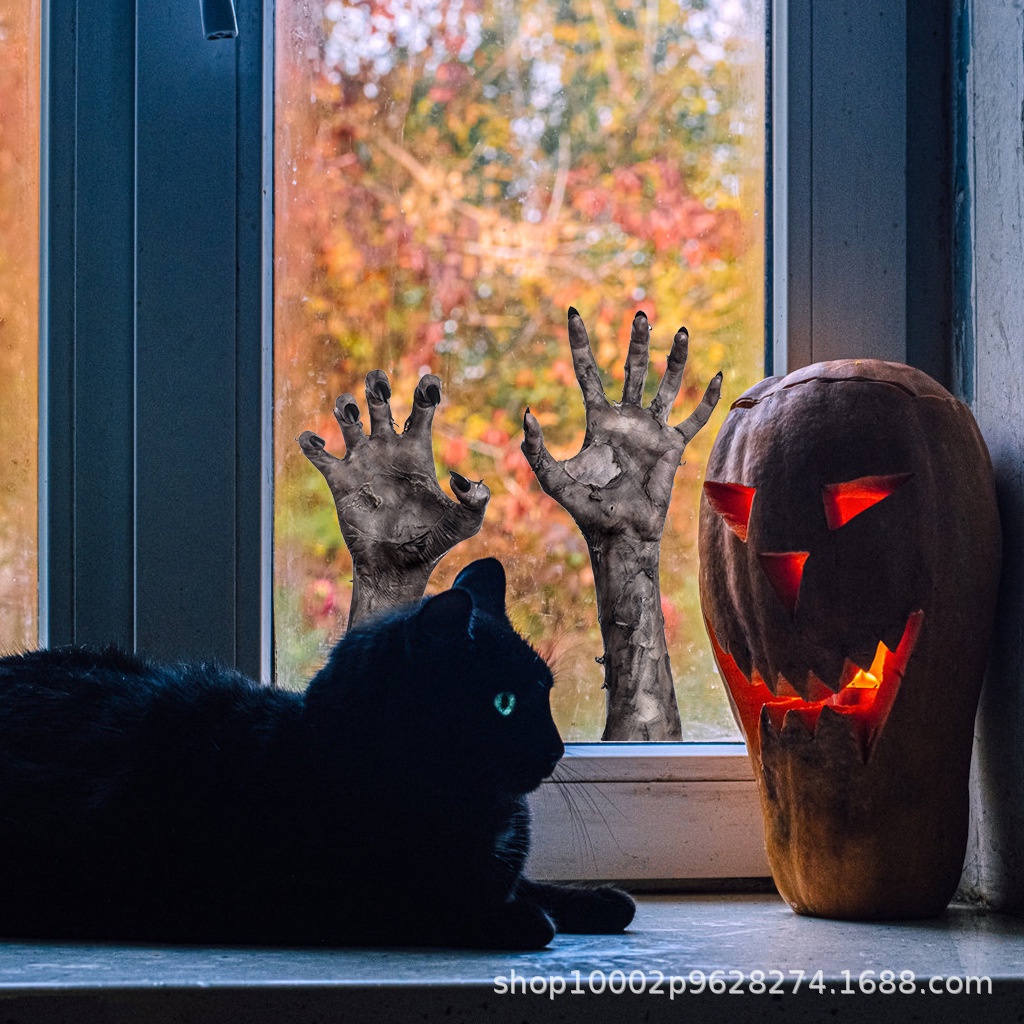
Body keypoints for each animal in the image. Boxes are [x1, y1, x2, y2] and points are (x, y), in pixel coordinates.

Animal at [0, 557, 630, 946]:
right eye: (504, 703)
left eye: (545, 693)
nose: (556, 747)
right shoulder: (343, 900)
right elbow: (493, 908)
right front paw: (526, 918)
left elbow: (540, 885)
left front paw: (600, 900)